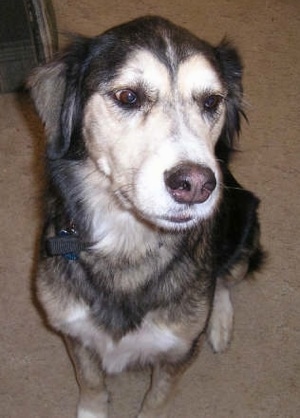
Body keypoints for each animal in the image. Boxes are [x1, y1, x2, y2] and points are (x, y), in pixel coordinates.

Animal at [28, 16, 262, 418]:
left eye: (211, 101)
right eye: (128, 97)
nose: (196, 185)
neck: (128, 243)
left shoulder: (178, 350)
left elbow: (157, 398)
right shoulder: (74, 332)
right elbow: (92, 383)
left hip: (246, 219)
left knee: (226, 278)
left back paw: (218, 322)